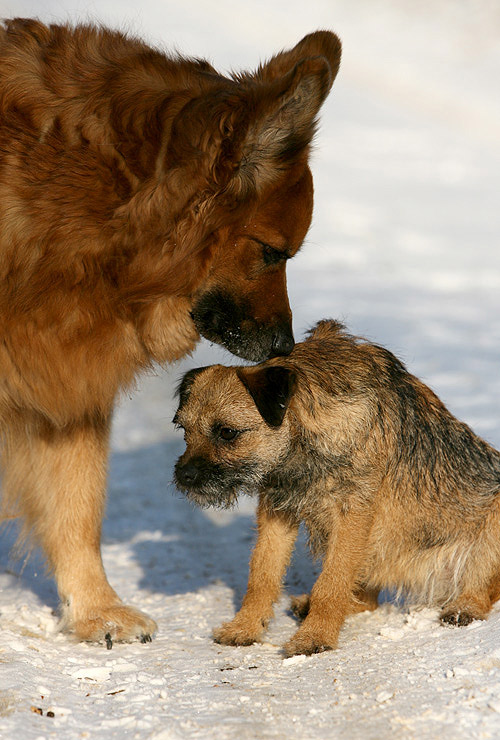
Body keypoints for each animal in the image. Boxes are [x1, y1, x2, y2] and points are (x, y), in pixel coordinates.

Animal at [174, 320, 500, 656]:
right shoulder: (276, 510)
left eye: (227, 433)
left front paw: (314, 637)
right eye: (183, 430)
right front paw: (246, 627)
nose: (183, 475)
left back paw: (464, 607)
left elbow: (331, 583)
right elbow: (262, 574)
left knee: (482, 587)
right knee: (366, 599)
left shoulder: (352, 516)